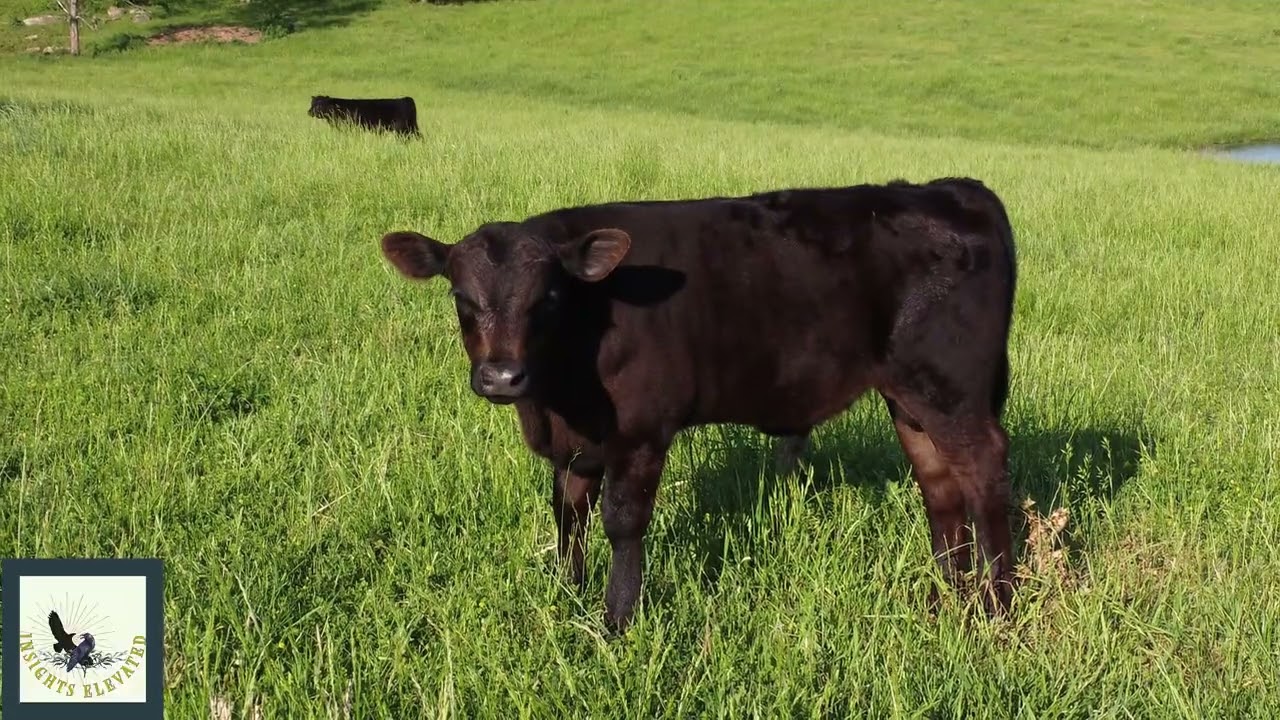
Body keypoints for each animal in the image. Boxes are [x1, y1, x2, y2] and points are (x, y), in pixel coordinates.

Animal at [379, 177, 1018, 632]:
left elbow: (622, 522)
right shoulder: (575, 446)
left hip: (950, 389)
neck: (555, 405)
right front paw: (567, 596)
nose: (502, 377)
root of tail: (951, 189)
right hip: (910, 398)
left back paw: (996, 607)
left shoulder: (640, 431)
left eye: (550, 296)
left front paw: (616, 622)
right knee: (939, 486)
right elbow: (568, 515)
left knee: (983, 470)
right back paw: (946, 598)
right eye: (461, 296)